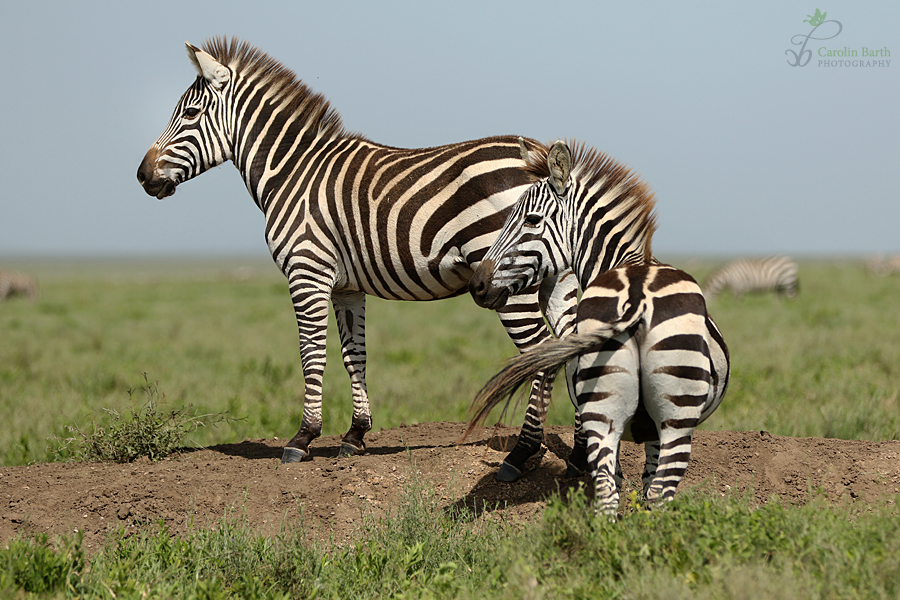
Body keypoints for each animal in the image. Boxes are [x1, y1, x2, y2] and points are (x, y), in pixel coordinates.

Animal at [137, 37, 580, 466]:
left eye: (190, 113)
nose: (142, 175)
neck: (292, 172)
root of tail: (541, 160)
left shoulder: (307, 272)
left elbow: (311, 354)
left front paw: (303, 437)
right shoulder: (346, 287)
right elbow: (355, 354)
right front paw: (355, 435)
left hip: (509, 282)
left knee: (541, 354)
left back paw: (525, 451)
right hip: (557, 279)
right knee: (575, 345)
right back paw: (579, 452)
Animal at [468, 141, 728, 516]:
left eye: (531, 220)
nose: (476, 286)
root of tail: (637, 299)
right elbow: (647, 481)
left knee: (615, 489)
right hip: (674, 419)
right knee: (656, 492)